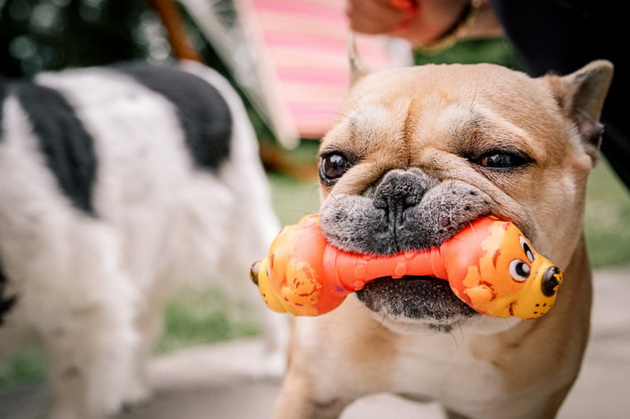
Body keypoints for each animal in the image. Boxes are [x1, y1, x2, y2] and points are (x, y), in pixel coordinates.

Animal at [0, 60, 286, 418]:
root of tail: (194, 69)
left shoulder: (81, 299)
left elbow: (72, 388)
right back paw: (132, 386)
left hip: (237, 222)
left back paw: (273, 359)